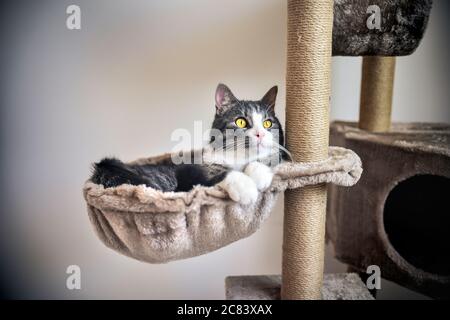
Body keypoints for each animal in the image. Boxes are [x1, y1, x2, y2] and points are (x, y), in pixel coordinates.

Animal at [91, 84, 288, 205]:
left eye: (268, 123)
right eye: (240, 122)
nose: (260, 134)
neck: (240, 157)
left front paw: (260, 174)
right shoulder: (194, 174)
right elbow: (219, 175)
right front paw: (246, 188)